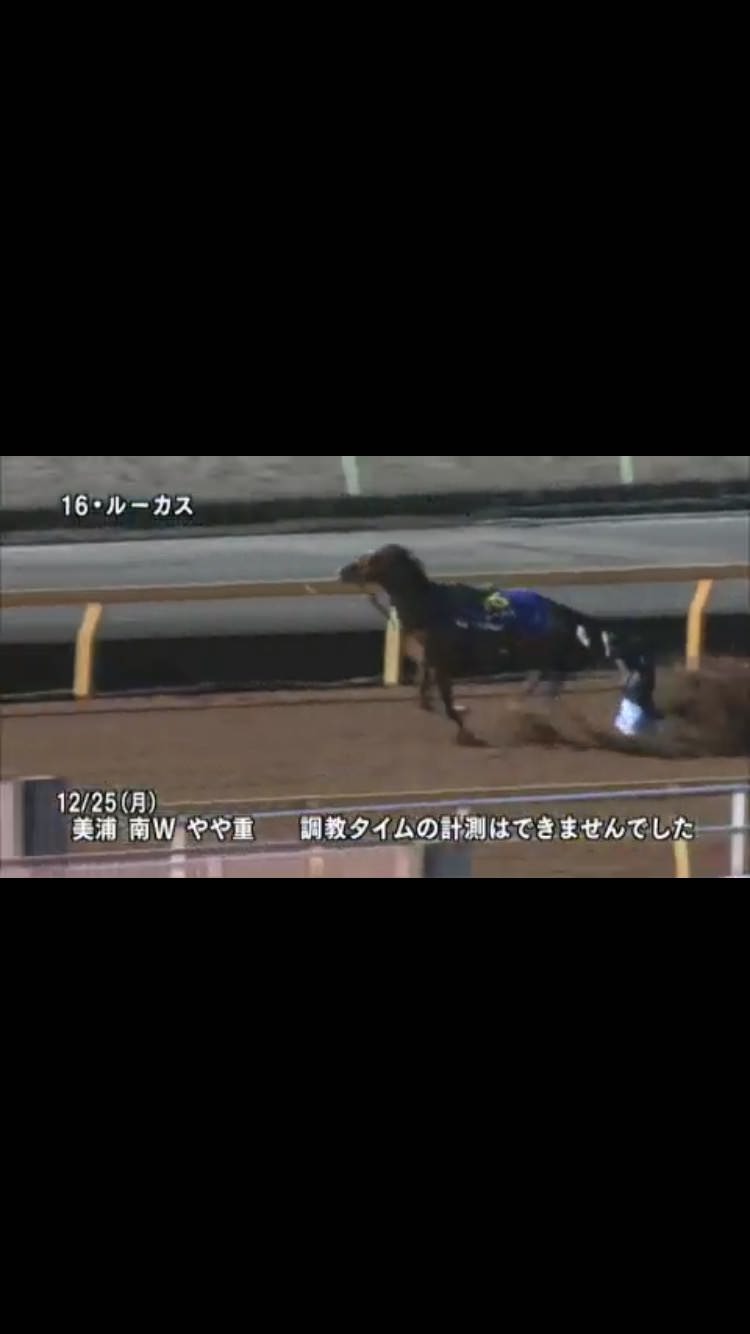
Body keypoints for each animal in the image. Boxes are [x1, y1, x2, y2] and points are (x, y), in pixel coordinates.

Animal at [339, 543, 635, 745]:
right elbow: (425, 691)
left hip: (540, 648)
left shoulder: (442, 659)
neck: (431, 607)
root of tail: (558, 609)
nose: (344, 570)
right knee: (548, 676)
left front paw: (464, 728)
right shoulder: (431, 657)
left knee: (554, 673)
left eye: (373, 559)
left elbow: (446, 701)